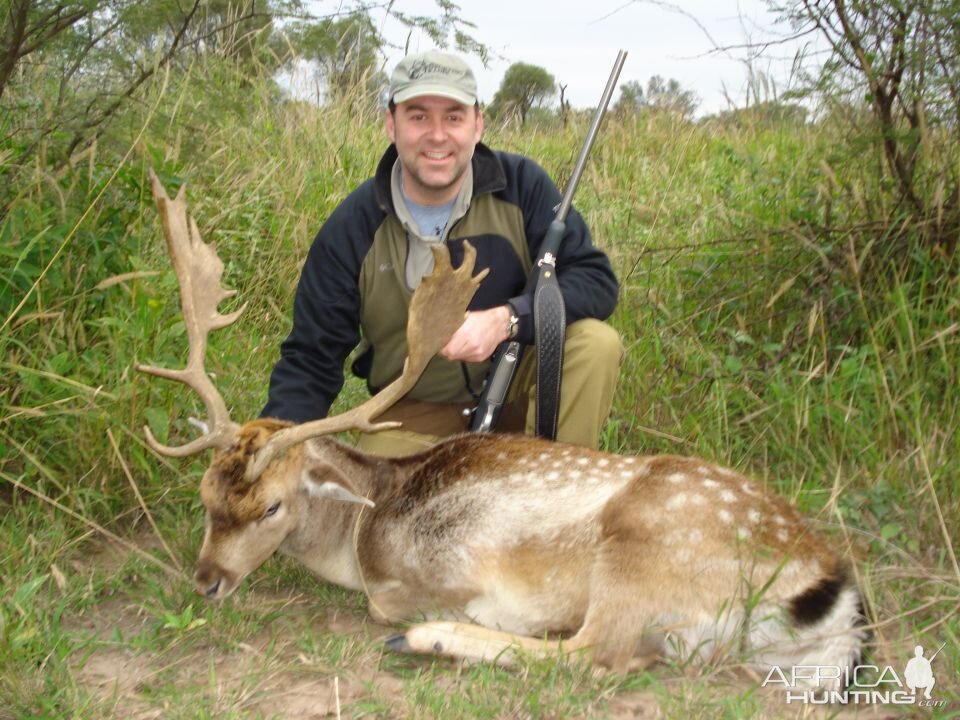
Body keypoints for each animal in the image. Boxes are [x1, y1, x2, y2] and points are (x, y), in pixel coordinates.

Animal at [139, 172, 868, 688]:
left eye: (271, 507)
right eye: (205, 497)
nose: (206, 580)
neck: (364, 531)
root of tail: (827, 585)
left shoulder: (437, 571)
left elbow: (394, 604)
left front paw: (437, 621)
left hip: (646, 545)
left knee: (600, 653)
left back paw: (431, 639)